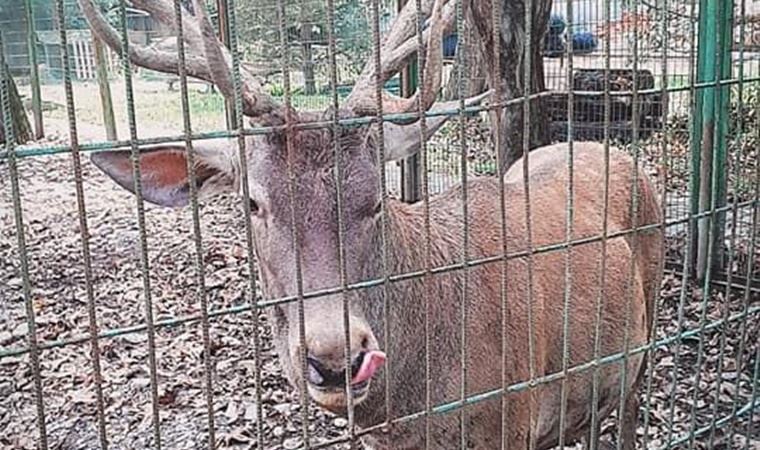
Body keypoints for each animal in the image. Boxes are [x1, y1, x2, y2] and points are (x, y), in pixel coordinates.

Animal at [78, 0, 660, 446]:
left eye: (378, 199)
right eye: (253, 203)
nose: (336, 357)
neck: (409, 411)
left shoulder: (515, 413)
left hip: (644, 332)